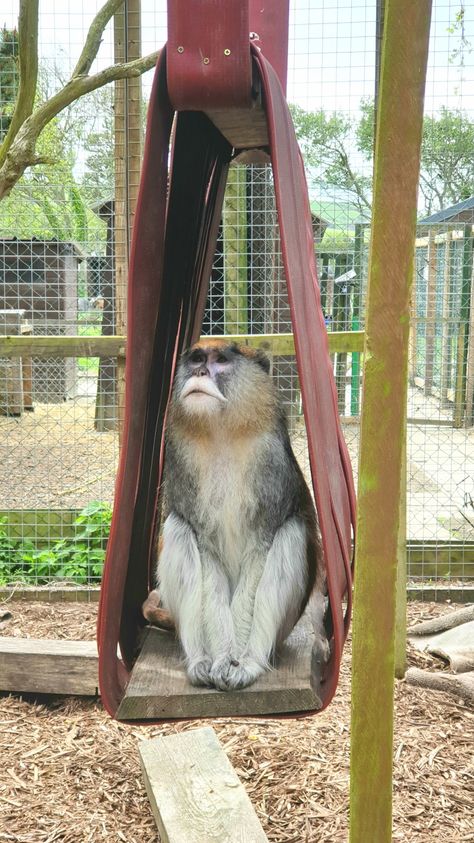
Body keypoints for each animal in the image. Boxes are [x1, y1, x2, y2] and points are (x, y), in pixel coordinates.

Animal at [142, 342, 326, 692]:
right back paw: (200, 660)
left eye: (222, 361)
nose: (200, 372)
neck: (222, 433)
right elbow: (205, 551)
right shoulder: (180, 461)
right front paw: (219, 659)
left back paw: (252, 662)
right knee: (178, 527)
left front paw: (237, 660)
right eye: (197, 359)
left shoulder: (271, 465)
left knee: (292, 532)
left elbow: (261, 550)